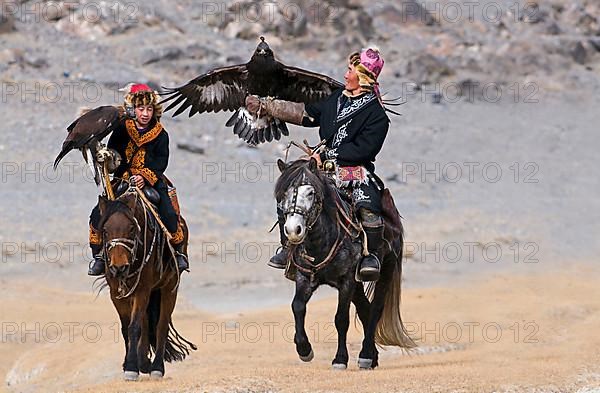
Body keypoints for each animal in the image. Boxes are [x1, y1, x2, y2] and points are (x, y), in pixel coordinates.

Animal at [96, 190, 195, 380]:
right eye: (104, 230)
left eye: (131, 228)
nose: (119, 267)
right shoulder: (116, 293)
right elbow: (127, 327)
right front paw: (131, 364)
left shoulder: (143, 289)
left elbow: (134, 327)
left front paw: (131, 368)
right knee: (146, 322)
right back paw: (144, 362)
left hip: (169, 288)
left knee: (161, 325)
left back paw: (156, 368)